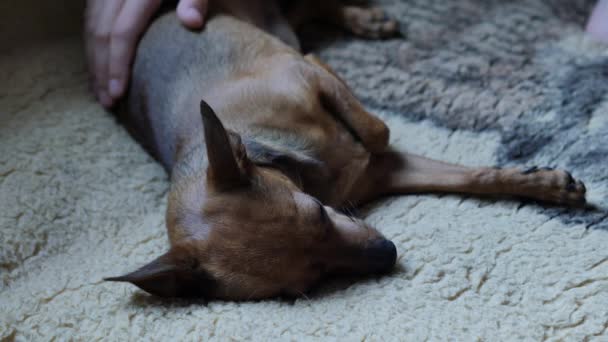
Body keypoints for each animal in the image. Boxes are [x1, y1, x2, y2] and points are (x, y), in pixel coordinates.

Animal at [107, 0, 588, 300]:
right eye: (308, 283)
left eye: (317, 213)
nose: (388, 253)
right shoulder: (388, 172)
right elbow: (474, 177)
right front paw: (545, 184)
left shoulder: (307, 69)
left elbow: (379, 132)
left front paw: (548, 183)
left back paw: (364, 20)